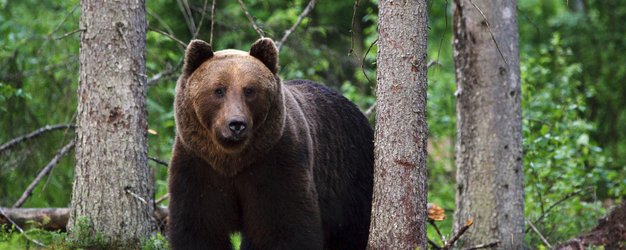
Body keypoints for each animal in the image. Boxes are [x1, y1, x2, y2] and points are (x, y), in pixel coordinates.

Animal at [167, 37, 370, 250]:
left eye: (249, 90)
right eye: (219, 90)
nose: (236, 124)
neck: (231, 159)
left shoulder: (275, 162)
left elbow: (286, 226)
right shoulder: (198, 165)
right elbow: (199, 227)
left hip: (351, 176)